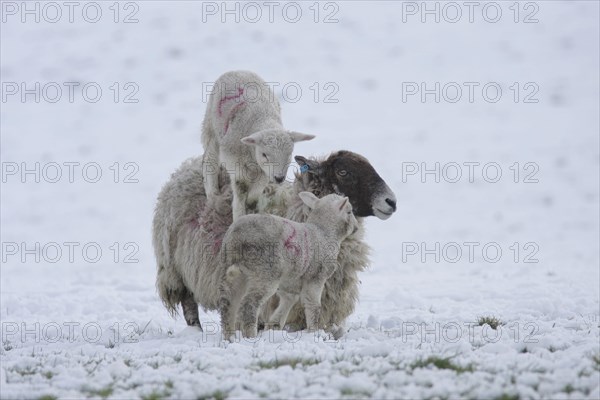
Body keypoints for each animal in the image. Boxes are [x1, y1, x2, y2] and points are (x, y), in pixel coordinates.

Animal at [202, 72, 314, 222]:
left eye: (290, 153)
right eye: (264, 154)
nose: (279, 178)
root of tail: (237, 70)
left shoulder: (264, 171)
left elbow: (256, 191)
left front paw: (251, 202)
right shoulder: (235, 163)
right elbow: (240, 189)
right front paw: (239, 215)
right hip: (211, 129)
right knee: (210, 160)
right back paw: (212, 193)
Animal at [219, 192, 356, 340]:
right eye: (349, 211)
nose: (356, 227)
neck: (324, 232)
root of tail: (237, 236)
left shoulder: (289, 282)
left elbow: (288, 301)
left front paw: (273, 327)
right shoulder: (316, 277)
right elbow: (313, 305)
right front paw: (314, 332)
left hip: (233, 269)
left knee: (228, 302)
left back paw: (230, 337)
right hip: (265, 271)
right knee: (249, 304)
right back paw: (251, 336)